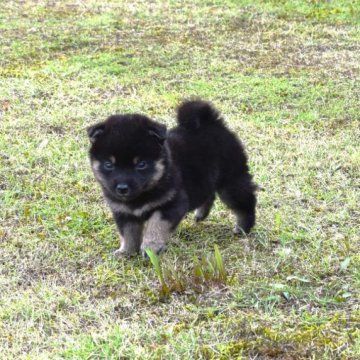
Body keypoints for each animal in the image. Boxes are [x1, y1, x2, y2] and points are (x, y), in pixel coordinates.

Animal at [87, 100, 256, 258]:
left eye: (141, 164)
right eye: (109, 165)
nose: (122, 188)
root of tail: (212, 122)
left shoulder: (171, 204)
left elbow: (156, 225)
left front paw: (151, 247)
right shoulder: (123, 212)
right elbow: (128, 233)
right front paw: (126, 251)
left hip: (231, 181)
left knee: (245, 202)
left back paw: (243, 228)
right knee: (209, 194)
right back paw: (201, 214)